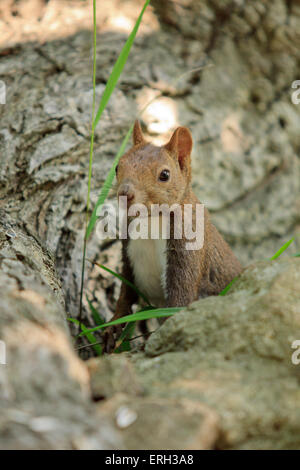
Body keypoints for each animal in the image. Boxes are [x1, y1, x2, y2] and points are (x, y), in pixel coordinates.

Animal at [104, 121, 243, 352]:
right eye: (117, 167)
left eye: (164, 175)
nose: (125, 193)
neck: (151, 222)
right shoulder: (128, 251)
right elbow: (126, 291)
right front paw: (113, 327)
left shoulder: (188, 249)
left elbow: (180, 297)